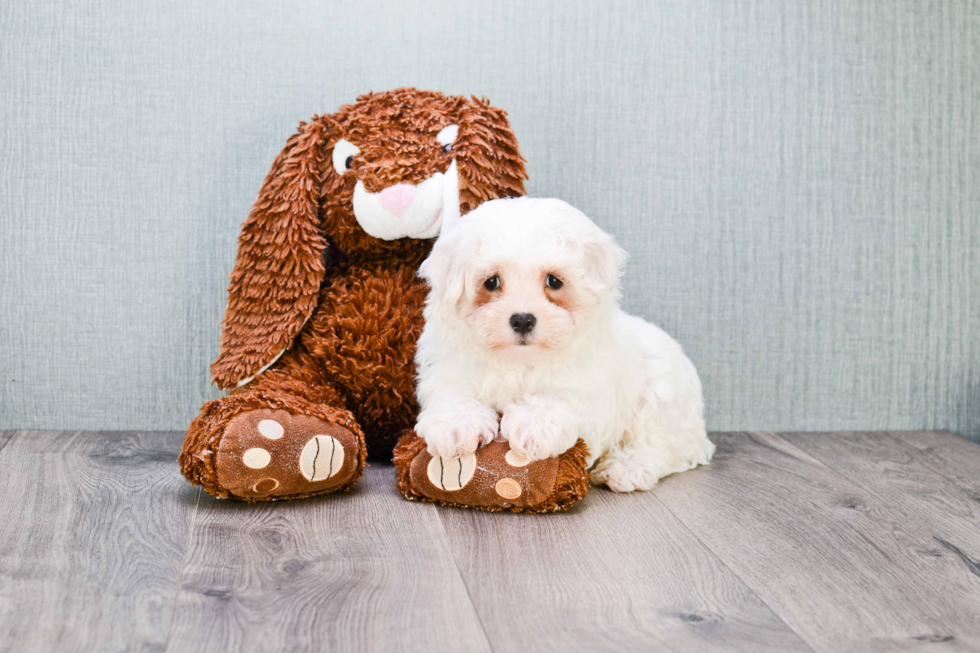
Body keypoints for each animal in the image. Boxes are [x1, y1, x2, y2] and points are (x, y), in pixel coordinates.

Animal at [414, 196, 712, 492]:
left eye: (554, 281)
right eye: (491, 281)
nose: (522, 320)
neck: (519, 362)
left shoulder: (591, 386)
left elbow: (562, 396)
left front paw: (536, 424)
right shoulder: (450, 366)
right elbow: (453, 392)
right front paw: (455, 425)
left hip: (663, 398)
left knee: (663, 444)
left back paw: (628, 468)